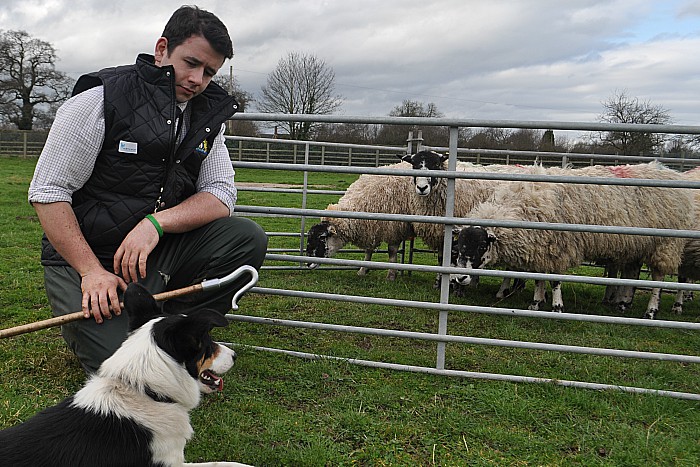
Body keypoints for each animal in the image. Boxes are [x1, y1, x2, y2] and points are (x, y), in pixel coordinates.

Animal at [454, 163, 696, 320]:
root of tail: (669, 172)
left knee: (658, 278)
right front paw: (536, 302)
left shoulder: (559, 248)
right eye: (459, 246)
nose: (460, 278)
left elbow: (555, 281)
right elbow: (539, 278)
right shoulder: (543, 249)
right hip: (636, 245)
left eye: (482, 246)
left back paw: (651, 311)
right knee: (633, 272)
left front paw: (557, 307)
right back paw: (623, 303)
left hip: (665, 244)